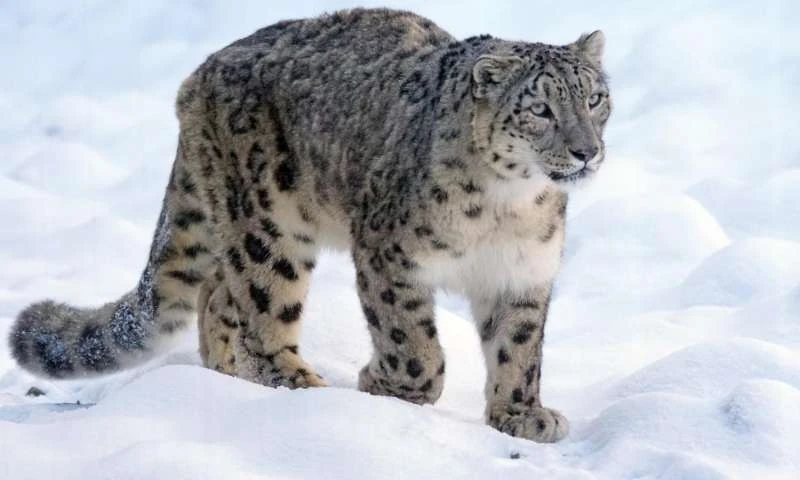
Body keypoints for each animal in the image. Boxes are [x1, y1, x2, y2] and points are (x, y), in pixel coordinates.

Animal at [8, 8, 611, 443]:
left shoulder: (523, 273)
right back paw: (300, 386)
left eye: (595, 98)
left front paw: (521, 415)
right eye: (540, 109)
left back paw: (226, 376)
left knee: (217, 295)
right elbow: (413, 343)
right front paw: (384, 384)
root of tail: (199, 75)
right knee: (259, 310)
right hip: (268, 226)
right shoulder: (390, 256)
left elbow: (519, 349)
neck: (509, 206)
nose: (586, 151)